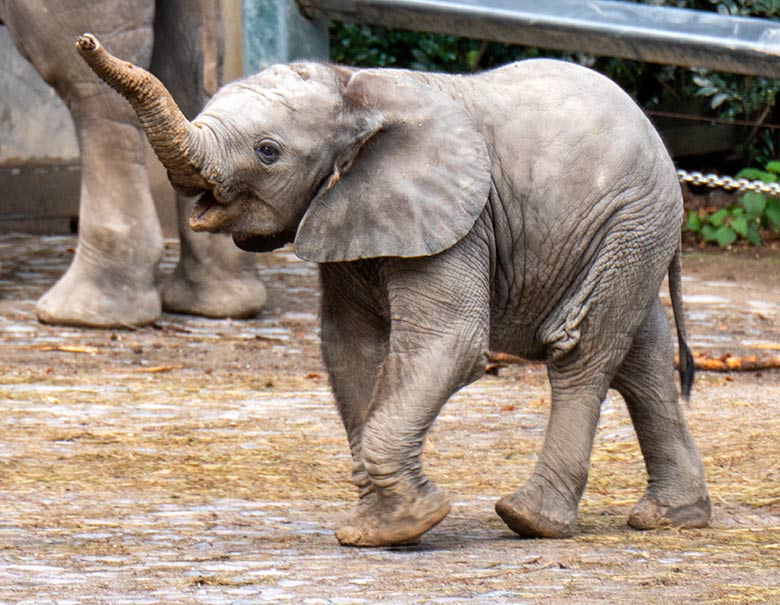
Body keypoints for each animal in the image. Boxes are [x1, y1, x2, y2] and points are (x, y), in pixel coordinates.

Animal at [77, 31, 708, 544]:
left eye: (268, 151)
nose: (86, 41)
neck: (355, 89)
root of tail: (663, 149)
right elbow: (350, 347)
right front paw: (379, 529)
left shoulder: (459, 222)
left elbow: (449, 341)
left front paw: (406, 524)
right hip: (632, 237)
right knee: (641, 358)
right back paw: (670, 518)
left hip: (630, 221)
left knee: (581, 351)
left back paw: (530, 520)